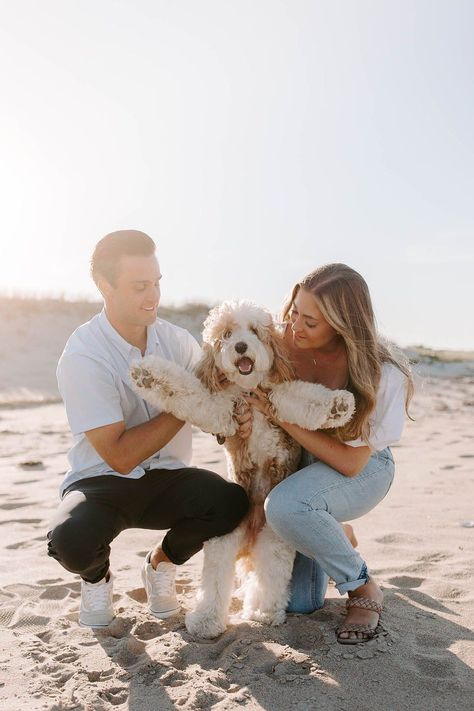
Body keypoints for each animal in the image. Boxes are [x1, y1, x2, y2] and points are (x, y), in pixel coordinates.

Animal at [131, 300, 354, 640]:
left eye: (254, 331)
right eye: (226, 334)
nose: (239, 346)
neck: (248, 391)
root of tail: (249, 536)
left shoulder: (277, 395)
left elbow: (303, 397)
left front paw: (338, 406)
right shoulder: (221, 409)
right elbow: (187, 391)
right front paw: (148, 375)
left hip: (273, 543)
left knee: (269, 581)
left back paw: (263, 612)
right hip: (222, 542)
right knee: (215, 583)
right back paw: (207, 621)